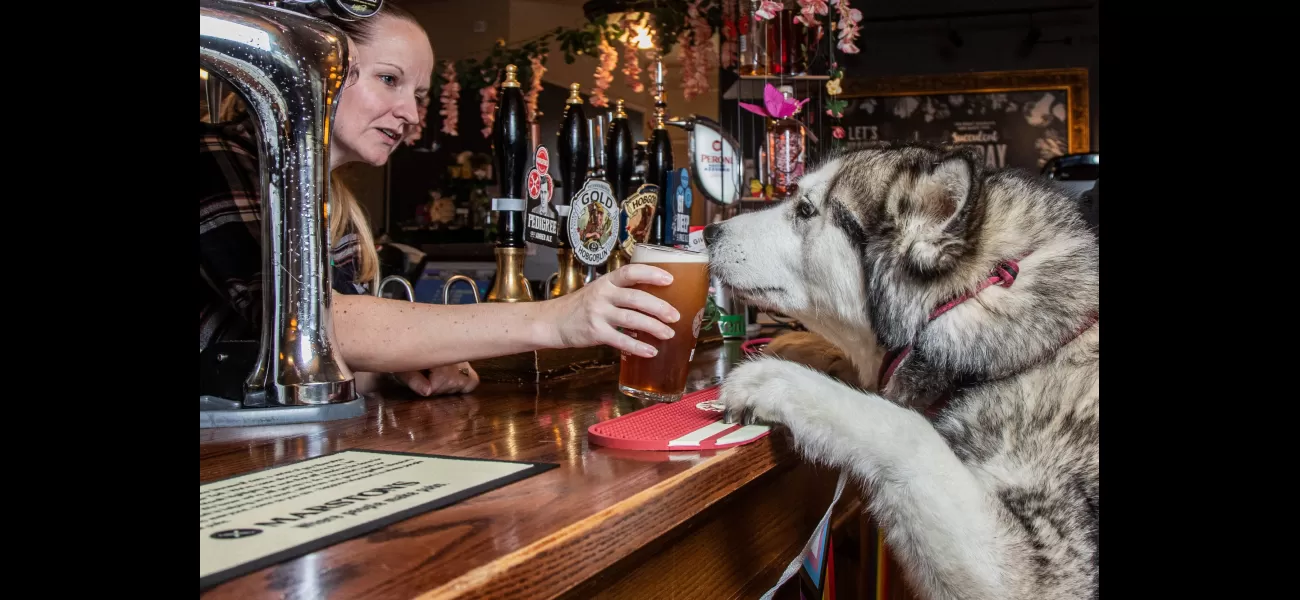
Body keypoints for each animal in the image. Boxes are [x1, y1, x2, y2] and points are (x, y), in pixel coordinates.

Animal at [712, 144, 1097, 600]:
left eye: (805, 209)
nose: (708, 232)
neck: (968, 299)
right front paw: (792, 346)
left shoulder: (1027, 575)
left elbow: (905, 429)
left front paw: (775, 377)